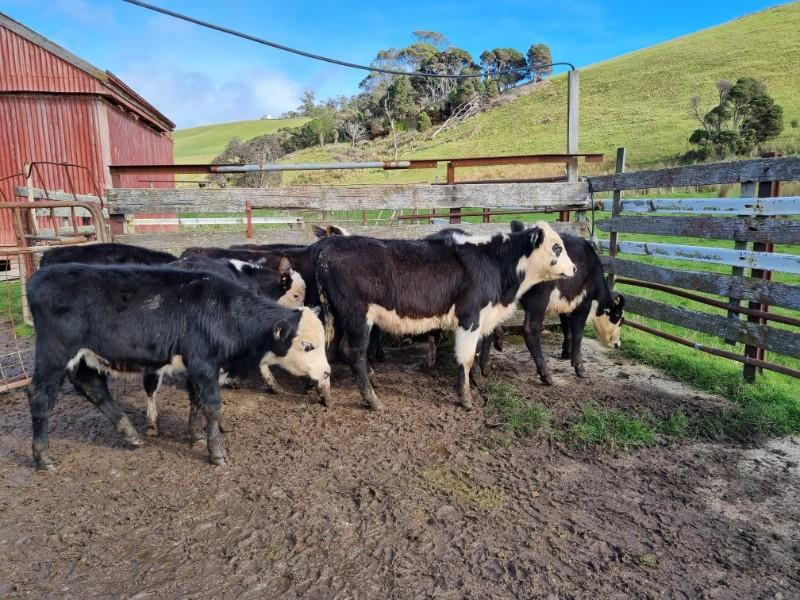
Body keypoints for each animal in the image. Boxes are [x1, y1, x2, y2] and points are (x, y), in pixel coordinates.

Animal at [26, 264, 331, 470]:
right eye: (307, 345)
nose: (327, 372)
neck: (225, 312)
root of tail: (40, 276)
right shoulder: (204, 362)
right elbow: (211, 404)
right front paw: (216, 452)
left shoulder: (197, 366)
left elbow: (195, 400)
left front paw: (195, 435)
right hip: (55, 353)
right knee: (40, 395)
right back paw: (43, 456)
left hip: (85, 357)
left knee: (92, 386)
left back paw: (130, 434)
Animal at [311, 221, 576, 411]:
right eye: (557, 247)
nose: (574, 268)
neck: (493, 262)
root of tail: (329, 245)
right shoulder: (470, 316)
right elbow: (465, 358)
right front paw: (466, 398)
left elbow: (475, 352)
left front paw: (478, 381)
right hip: (357, 316)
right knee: (354, 352)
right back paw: (373, 400)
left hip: (340, 317)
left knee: (337, 349)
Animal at [478, 221, 625, 384]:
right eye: (617, 317)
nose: (617, 344)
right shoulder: (583, 303)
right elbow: (578, 333)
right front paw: (579, 367)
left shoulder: (565, 303)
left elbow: (567, 328)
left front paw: (566, 352)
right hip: (539, 301)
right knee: (530, 330)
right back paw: (545, 374)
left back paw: (485, 365)